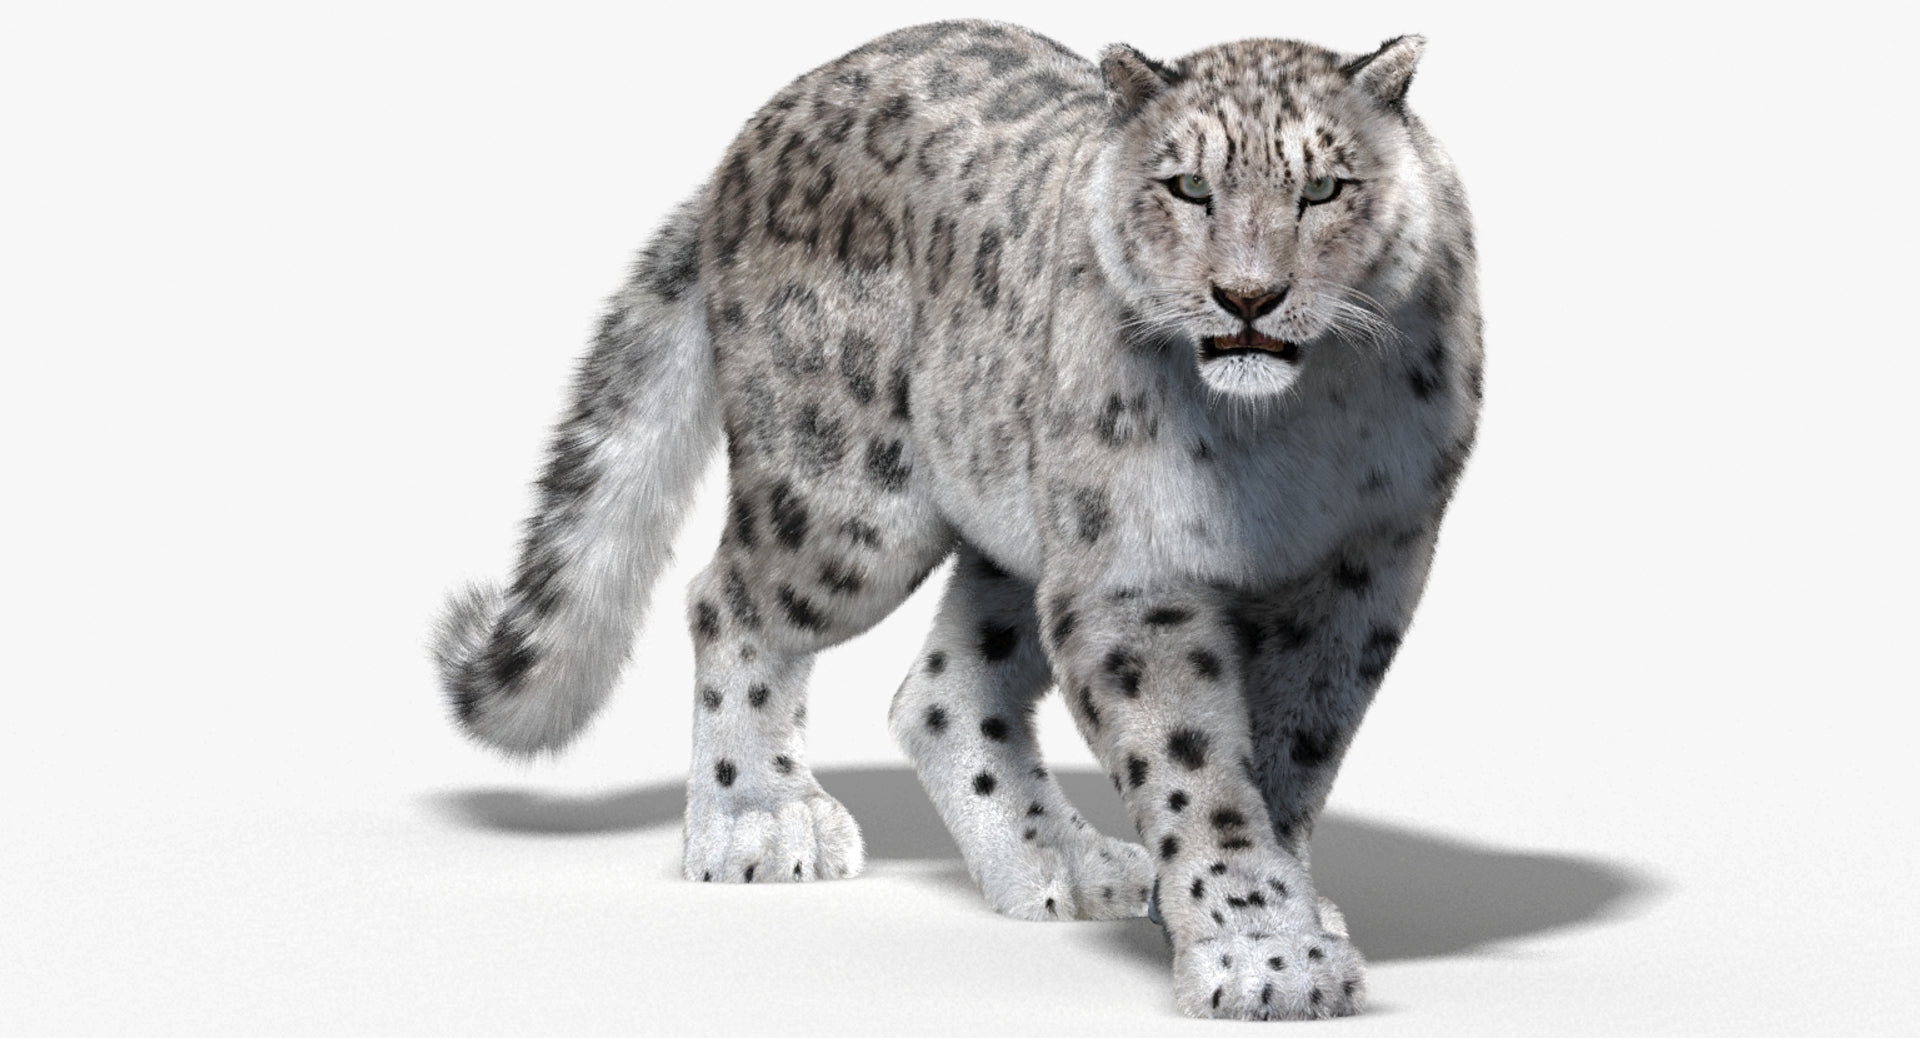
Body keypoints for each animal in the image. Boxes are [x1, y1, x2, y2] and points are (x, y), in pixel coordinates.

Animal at [432, 20, 1481, 1021]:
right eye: (1187, 186)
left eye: (1325, 188)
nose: (1249, 298)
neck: (1287, 433)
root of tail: (758, 130)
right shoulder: (1133, 568)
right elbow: (1192, 763)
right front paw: (1263, 954)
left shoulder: (1363, 566)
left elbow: (1297, 746)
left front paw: (1280, 915)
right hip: (851, 503)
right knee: (726, 597)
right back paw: (760, 821)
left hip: (1024, 523)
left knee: (940, 690)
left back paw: (1064, 865)